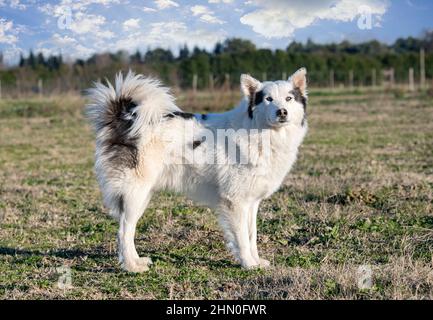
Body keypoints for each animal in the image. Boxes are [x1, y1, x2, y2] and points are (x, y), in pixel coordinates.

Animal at [85, 68, 308, 272]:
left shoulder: (251, 203)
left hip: (142, 195)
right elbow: (242, 238)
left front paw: (257, 261)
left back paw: (137, 261)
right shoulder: (234, 202)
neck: (260, 133)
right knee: (123, 231)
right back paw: (131, 267)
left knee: (128, 229)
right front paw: (248, 264)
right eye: (268, 99)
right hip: (135, 193)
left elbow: (251, 235)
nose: (282, 112)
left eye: (289, 98)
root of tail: (125, 118)